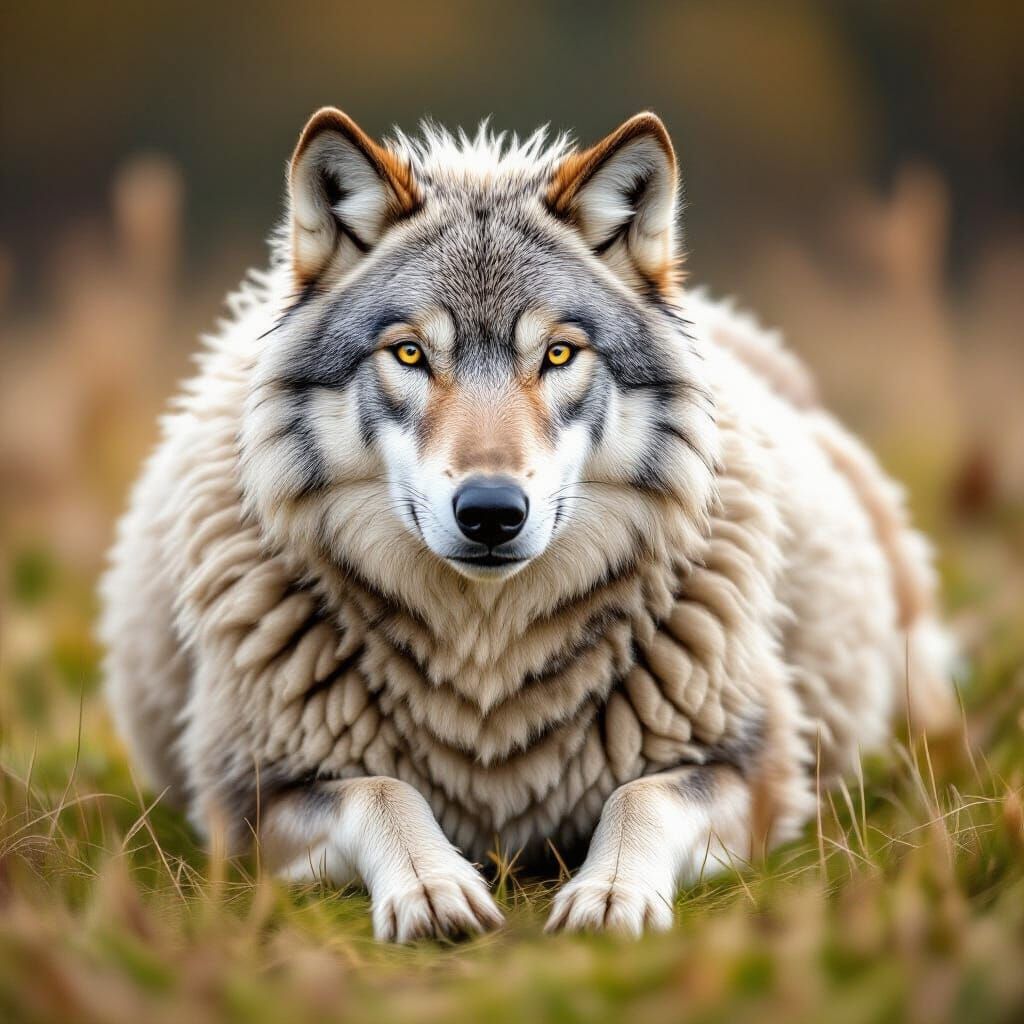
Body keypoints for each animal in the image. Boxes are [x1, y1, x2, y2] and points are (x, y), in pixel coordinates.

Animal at [100, 108, 955, 941]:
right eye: (409, 354)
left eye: (558, 354)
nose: (490, 512)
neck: (486, 654)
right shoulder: (250, 798)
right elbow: (382, 789)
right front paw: (433, 886)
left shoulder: (758, 769)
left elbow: (639, 797)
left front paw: (610, 894)